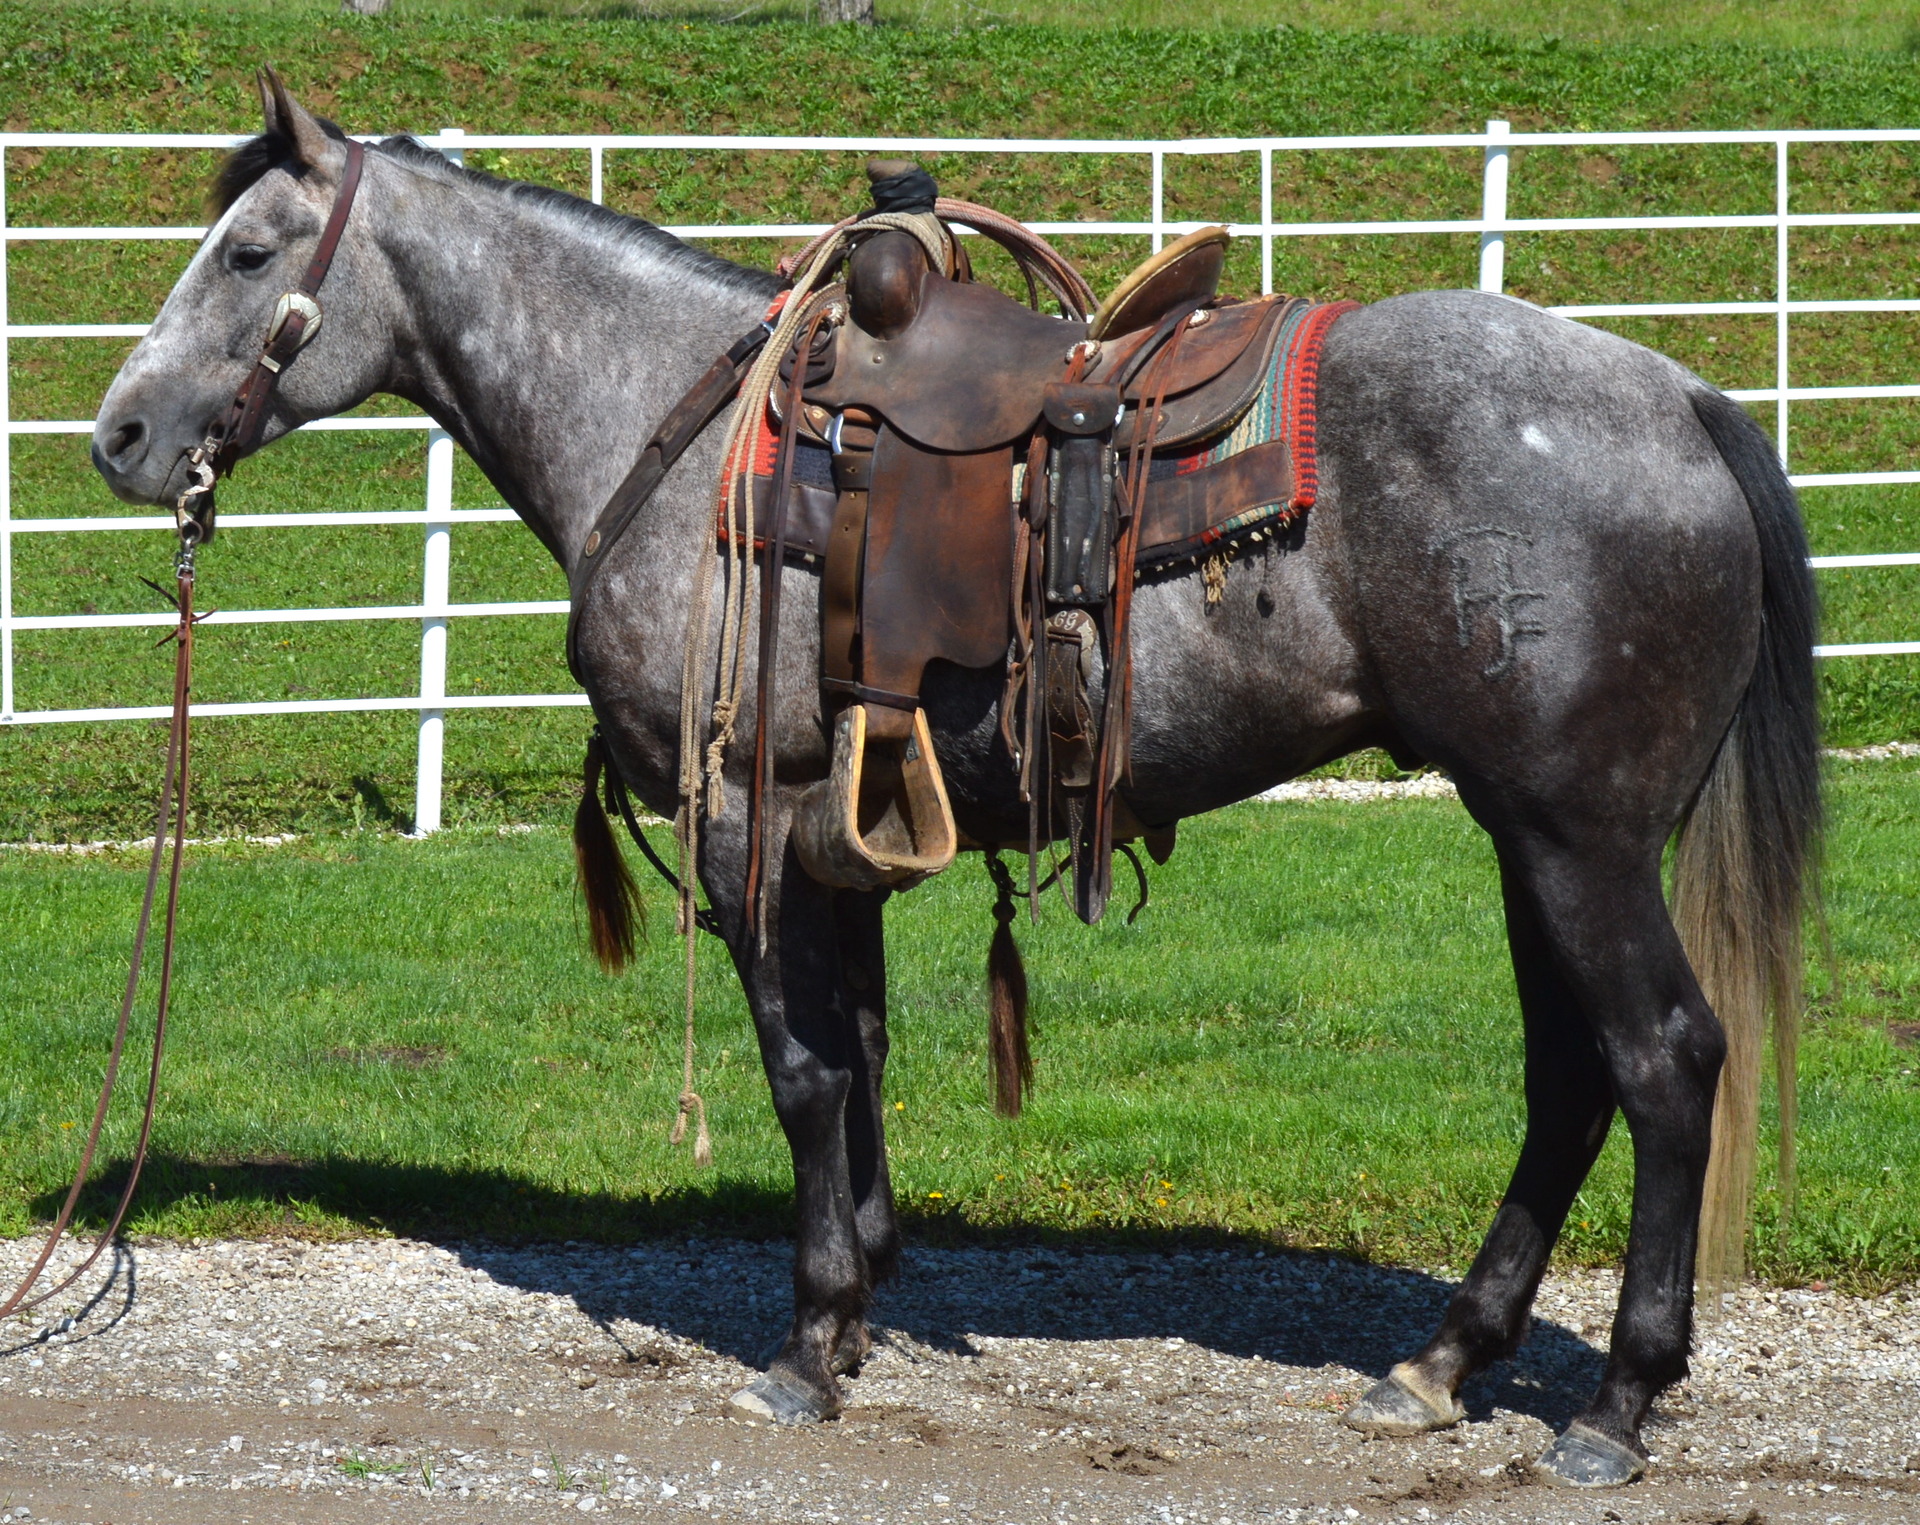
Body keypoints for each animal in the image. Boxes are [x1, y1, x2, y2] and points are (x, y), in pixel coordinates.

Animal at [93, 77, 1812, 1482]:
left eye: (248, 252)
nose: (118, 436)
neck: (672, 429)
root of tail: (1680, 401)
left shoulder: (746, 817)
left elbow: (799, 1070)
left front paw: (806, 1347)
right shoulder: (834, 814)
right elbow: (858, 1050)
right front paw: (861, 1294)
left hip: (1579, 841)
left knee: (1663, 1064)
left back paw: (1614, 1410)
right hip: (1526, 832)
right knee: (1570, 1079)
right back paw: (1442, 1362)